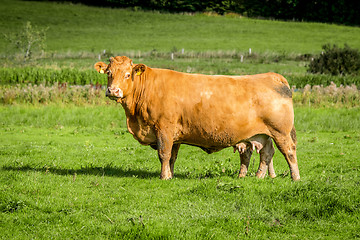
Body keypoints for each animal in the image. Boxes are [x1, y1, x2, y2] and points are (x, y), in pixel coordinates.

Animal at [94, 56, 300, 180]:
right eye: (109, 73)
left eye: (128, 74)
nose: (113, 90)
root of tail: (273, 76)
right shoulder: (174, 135)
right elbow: (172, 157)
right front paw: (170, 175)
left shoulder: (164, 129)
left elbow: (163, 154)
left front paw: (163, 177)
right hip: (262, 135)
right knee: (266, 153)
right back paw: (258, 176)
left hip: (280, 132)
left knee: (288, 151)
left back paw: (295, 177)